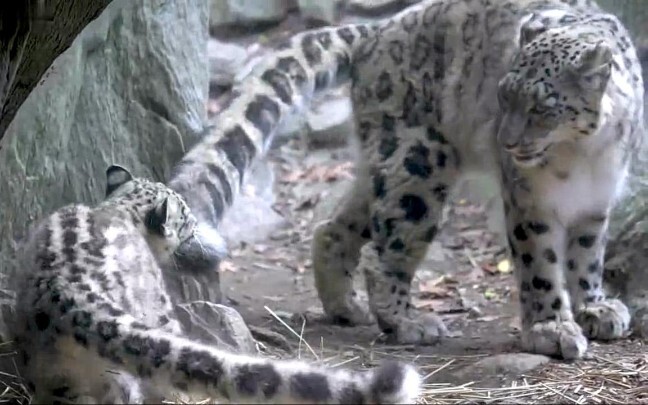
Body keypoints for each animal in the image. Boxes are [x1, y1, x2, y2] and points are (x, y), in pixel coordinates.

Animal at [168, 0, 644, 360]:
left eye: (543, 108)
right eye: (503, 95)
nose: (505, 143)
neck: (581, 158)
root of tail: (377, 31)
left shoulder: (596, 203)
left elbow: (587, 256)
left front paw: (595, 308)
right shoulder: (529, 201)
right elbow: (540, 265)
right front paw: (551, 329)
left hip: (388, 161)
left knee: (335, 226)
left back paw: (346, 307)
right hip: (419, 164)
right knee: (388, 251)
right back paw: (407, 321)